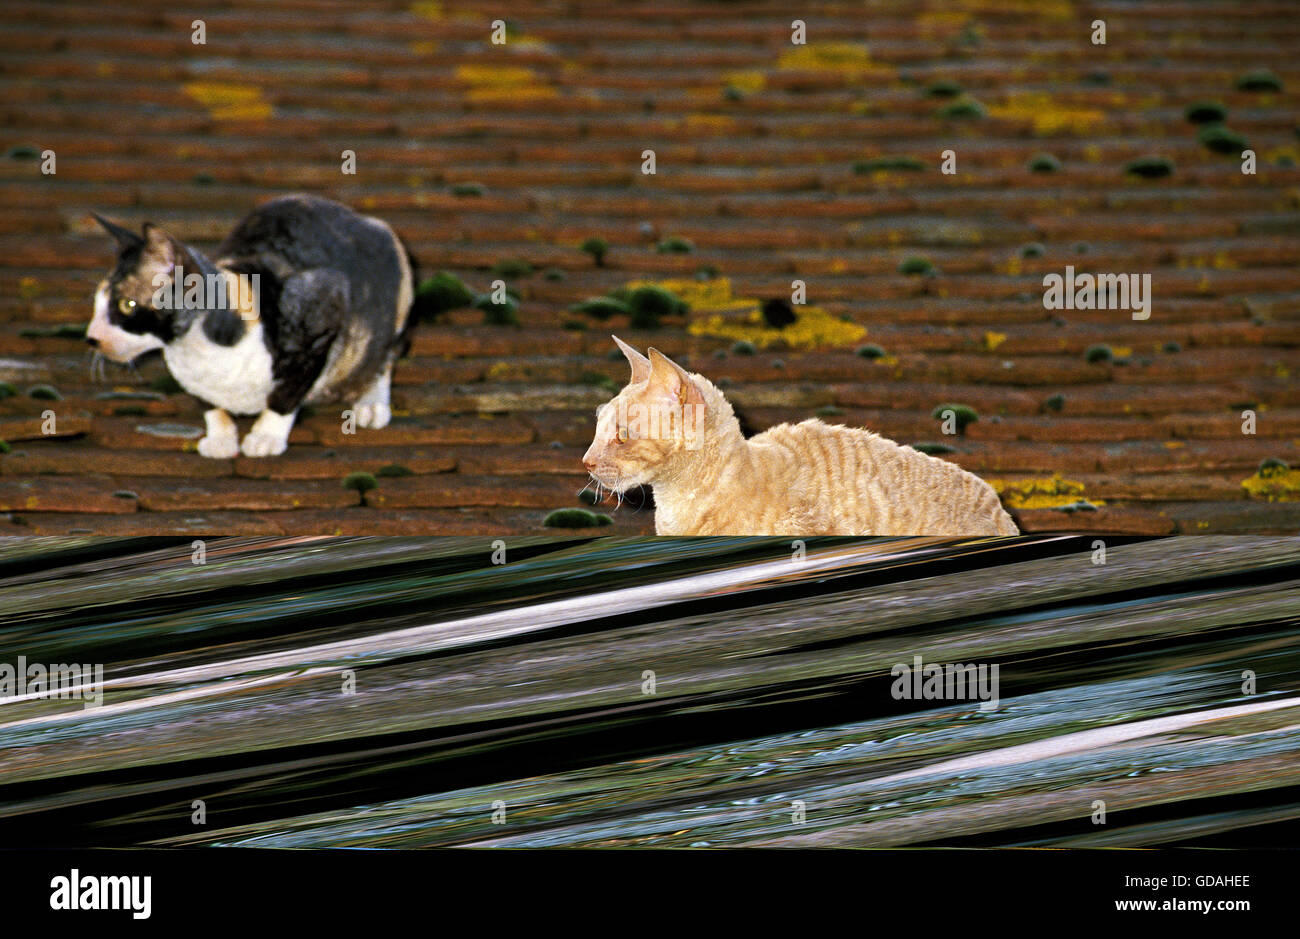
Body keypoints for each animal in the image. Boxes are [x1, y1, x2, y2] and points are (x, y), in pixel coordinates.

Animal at [87, 192, 416, 455]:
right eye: (96, 305)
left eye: (126, 305)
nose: (90, 338)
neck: (198, 352)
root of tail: (358, 215)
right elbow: (209, 405)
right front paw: (221, 439)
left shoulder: (321, 318)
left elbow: (285, 396)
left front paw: (265, 437)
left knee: (386, 355)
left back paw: (370, 403)